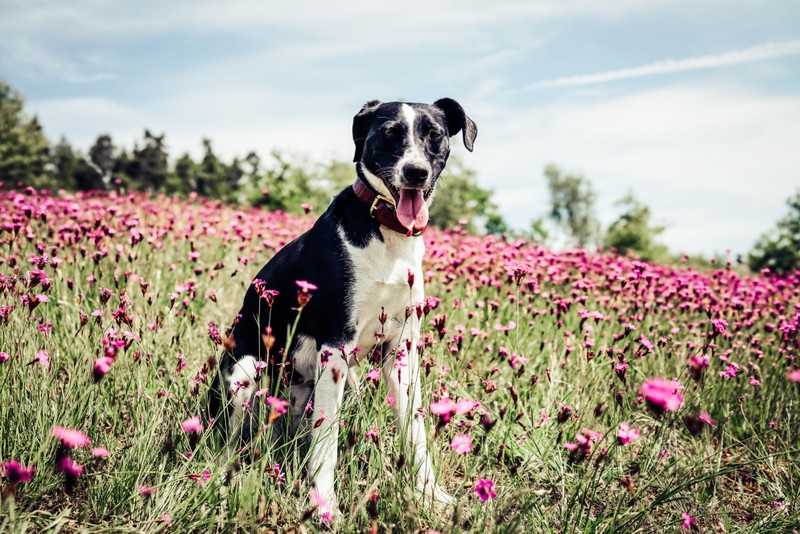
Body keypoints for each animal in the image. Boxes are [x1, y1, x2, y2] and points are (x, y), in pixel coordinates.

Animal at [209, 98, 478, 516]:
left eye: (434, 135)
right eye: (388, 133)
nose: (415, 172)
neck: (387, 233)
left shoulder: (401, 350)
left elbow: (416, 432)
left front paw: (431, 495)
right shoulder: (334, 346)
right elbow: (327, 443)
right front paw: (324, 506)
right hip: (244, 374)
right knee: (225, 444)